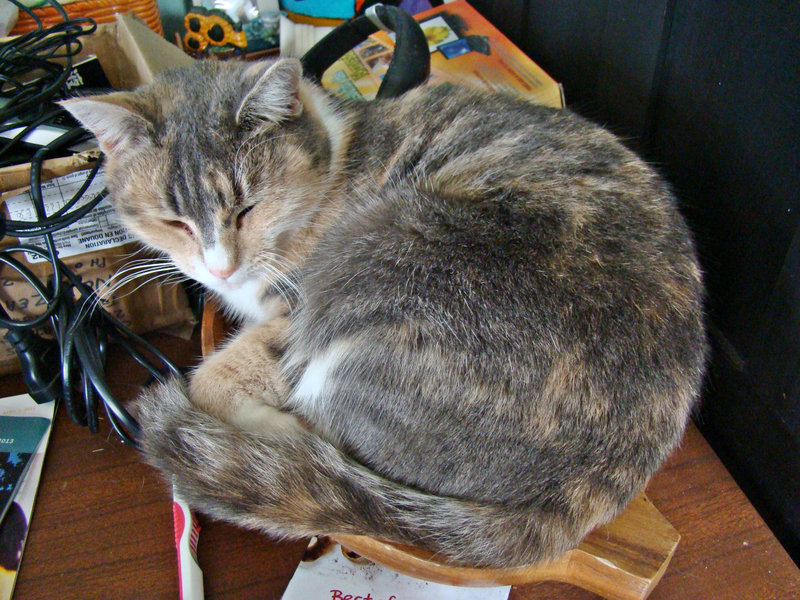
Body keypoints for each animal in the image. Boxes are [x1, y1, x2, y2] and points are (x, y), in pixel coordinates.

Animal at [64, 58, 712, 568]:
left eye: (248, 207)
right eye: (172, 220)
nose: (220, 269)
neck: (330, 165)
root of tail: (595, 489)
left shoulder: (295, 311)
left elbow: (214, 377)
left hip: (373, 264)